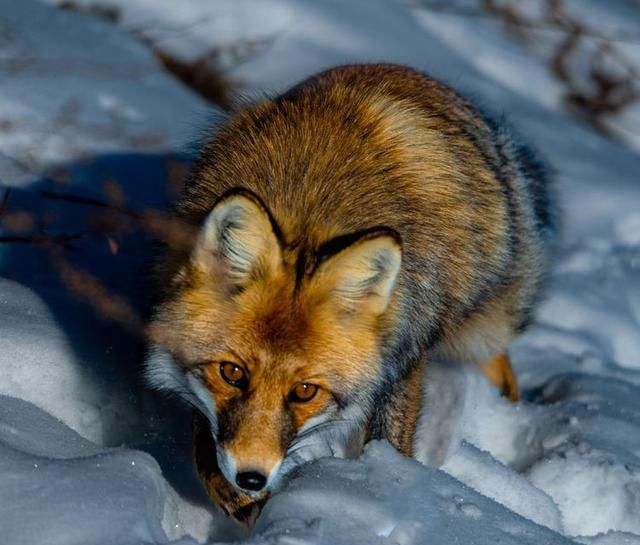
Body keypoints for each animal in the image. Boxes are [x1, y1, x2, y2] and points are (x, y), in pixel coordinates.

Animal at [145, 62, 556, 524]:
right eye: (232, 373)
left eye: (305, 391)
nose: (252, 476)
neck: (309, 199)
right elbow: (204, 432)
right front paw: (234, 495)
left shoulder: (402, 354)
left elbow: (388, 442)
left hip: (481, 329)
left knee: (499, 361)